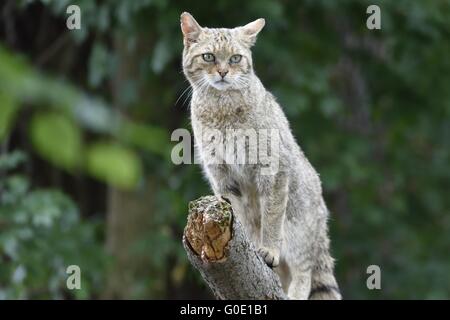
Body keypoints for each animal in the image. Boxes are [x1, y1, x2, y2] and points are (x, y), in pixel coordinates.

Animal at [179, 11, 342, 300]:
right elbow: (240, 218)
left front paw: (268, 249)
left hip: (300, 232)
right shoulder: (222, 177)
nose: (223, 72)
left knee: (304, 273)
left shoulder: (273, 170)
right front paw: (249, 246)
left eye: (235, 58)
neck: (221, 108)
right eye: (208, 56)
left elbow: (272, 218)